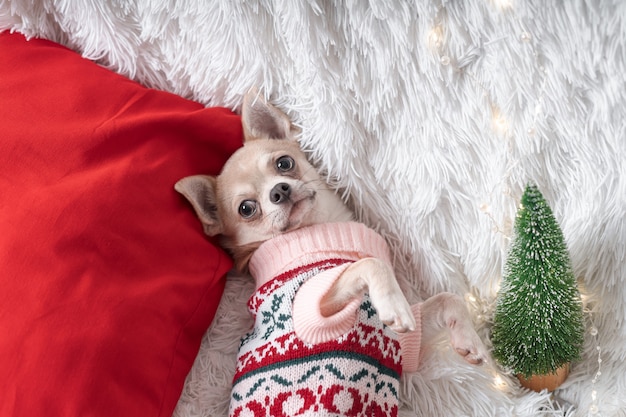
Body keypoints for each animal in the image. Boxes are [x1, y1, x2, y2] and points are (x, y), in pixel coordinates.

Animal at [173, 90, 486, 416]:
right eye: (246, 209)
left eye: (284, 163)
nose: (278, 190)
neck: (323, 229)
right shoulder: (315, 310)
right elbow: (371, 265)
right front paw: (394, 305)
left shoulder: (407, 341)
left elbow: (449, 299)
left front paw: (470, 341)